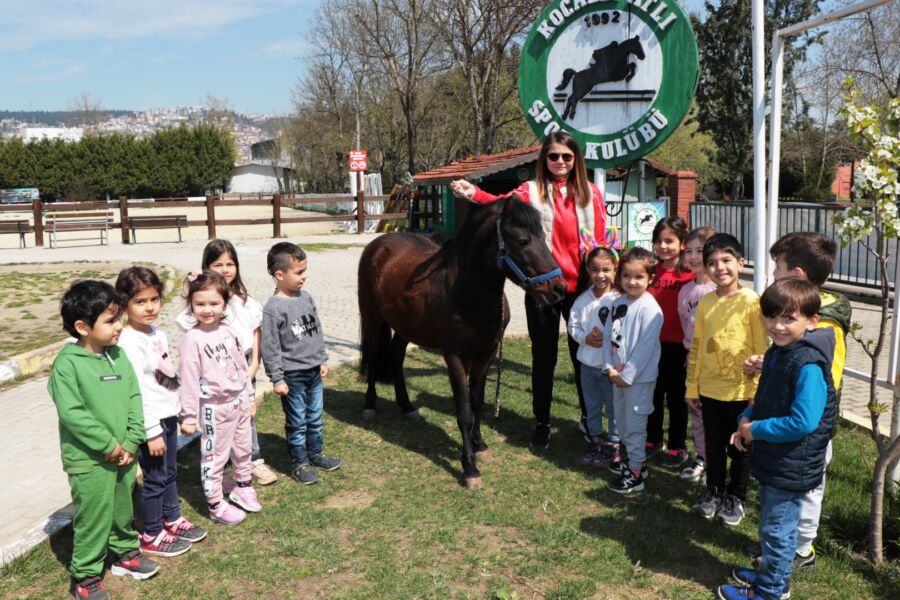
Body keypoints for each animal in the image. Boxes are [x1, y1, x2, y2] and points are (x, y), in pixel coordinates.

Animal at [356, 196, 564, 488]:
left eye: (543, 237)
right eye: (523, 240)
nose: (558, 288)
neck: (467, 293)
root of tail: (379, 244)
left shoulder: (485, 354)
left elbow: (477, 403)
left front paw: (479, 445)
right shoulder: (454, 357)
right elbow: (464, 411)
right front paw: (469, 468)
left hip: (405, 326)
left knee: (395, 357)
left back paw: (407, 406)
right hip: (373, 316)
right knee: (373, 356)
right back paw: (370, 406)